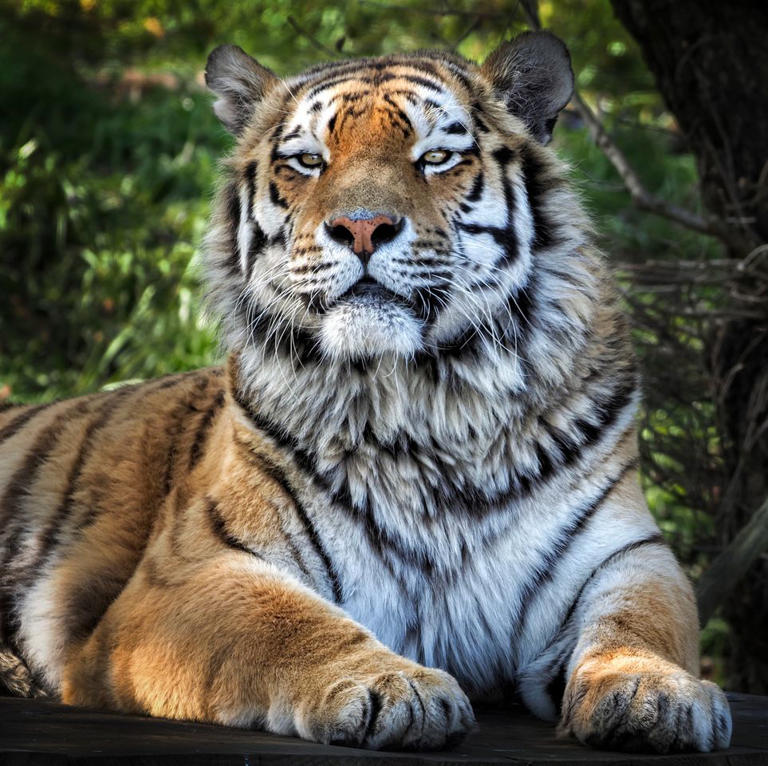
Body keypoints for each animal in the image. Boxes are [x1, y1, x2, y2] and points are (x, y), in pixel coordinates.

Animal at [0, 31, 732, 753]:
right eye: (307, 162)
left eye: (435, 157)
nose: (360, 227)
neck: (425, 398)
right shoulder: (191, 572)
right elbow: (285, 623)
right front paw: (392, 686)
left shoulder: (625, 554)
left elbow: (643, 620)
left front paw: (654, 690)